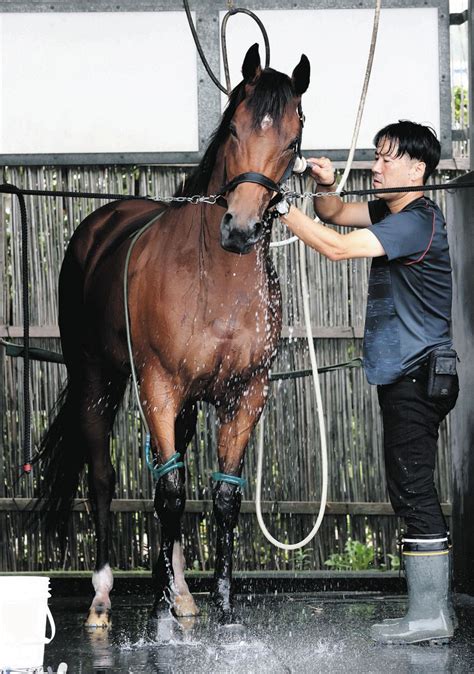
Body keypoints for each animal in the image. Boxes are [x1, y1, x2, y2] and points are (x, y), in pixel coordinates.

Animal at [39, 44, 312, 624]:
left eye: (292, 140)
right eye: (233, 127)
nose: (240, 229)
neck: (216, 281)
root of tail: (99, 226)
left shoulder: (244, 395)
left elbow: (223, 498)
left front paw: (223, 610)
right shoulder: (159, 386)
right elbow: (168, 492)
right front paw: (160, 614)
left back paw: (182, 589)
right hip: (96, 379)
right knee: (104, 476)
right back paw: (103, 595)